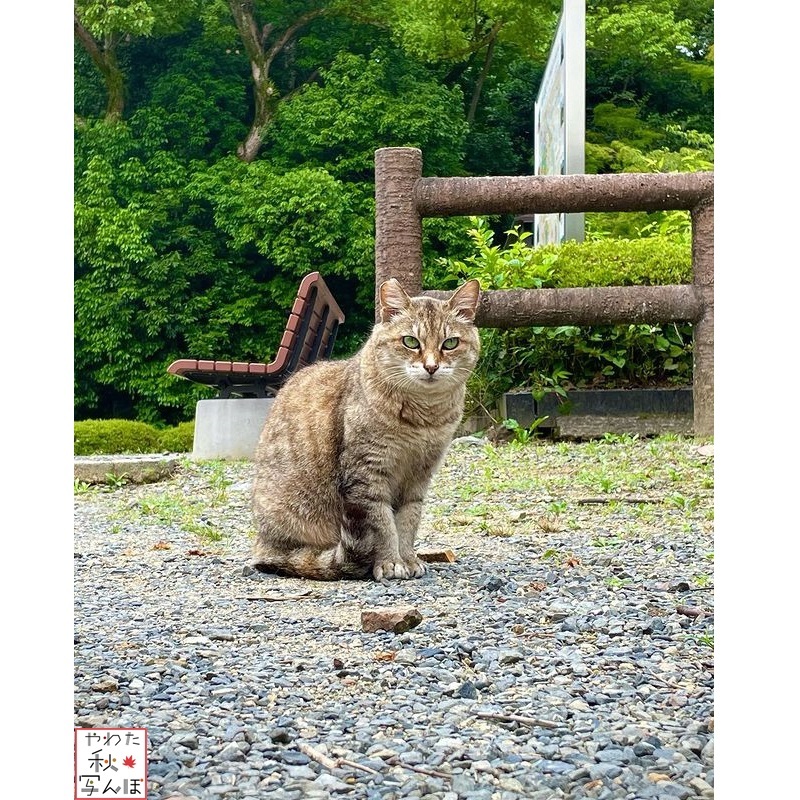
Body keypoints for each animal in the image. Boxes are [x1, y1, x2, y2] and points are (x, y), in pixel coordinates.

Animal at [250, 278, 478, 580]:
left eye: (450, 343)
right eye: (410, 341)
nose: (431, 366)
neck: (423, 416)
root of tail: (261, 543)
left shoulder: (420, 475)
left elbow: (408, 521)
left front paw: (408, 558)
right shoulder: (367, 473)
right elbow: (383, 525)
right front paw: (391, 562)